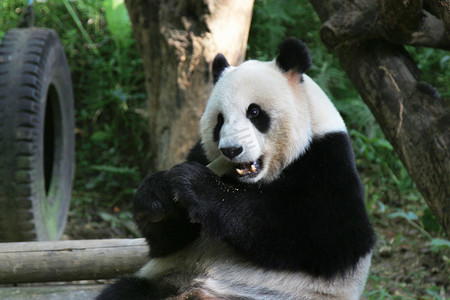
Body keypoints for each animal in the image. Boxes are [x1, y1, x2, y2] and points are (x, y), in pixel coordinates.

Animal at [97, 38, 376, 300]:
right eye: (219, 120)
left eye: (254, 112)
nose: (231, 150)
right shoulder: (201, 152)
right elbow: (171, 240)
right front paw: (156, 196)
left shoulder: (327, 158)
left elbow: (330, 236)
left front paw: (197, 186)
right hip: (165, 280)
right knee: (125, 291)